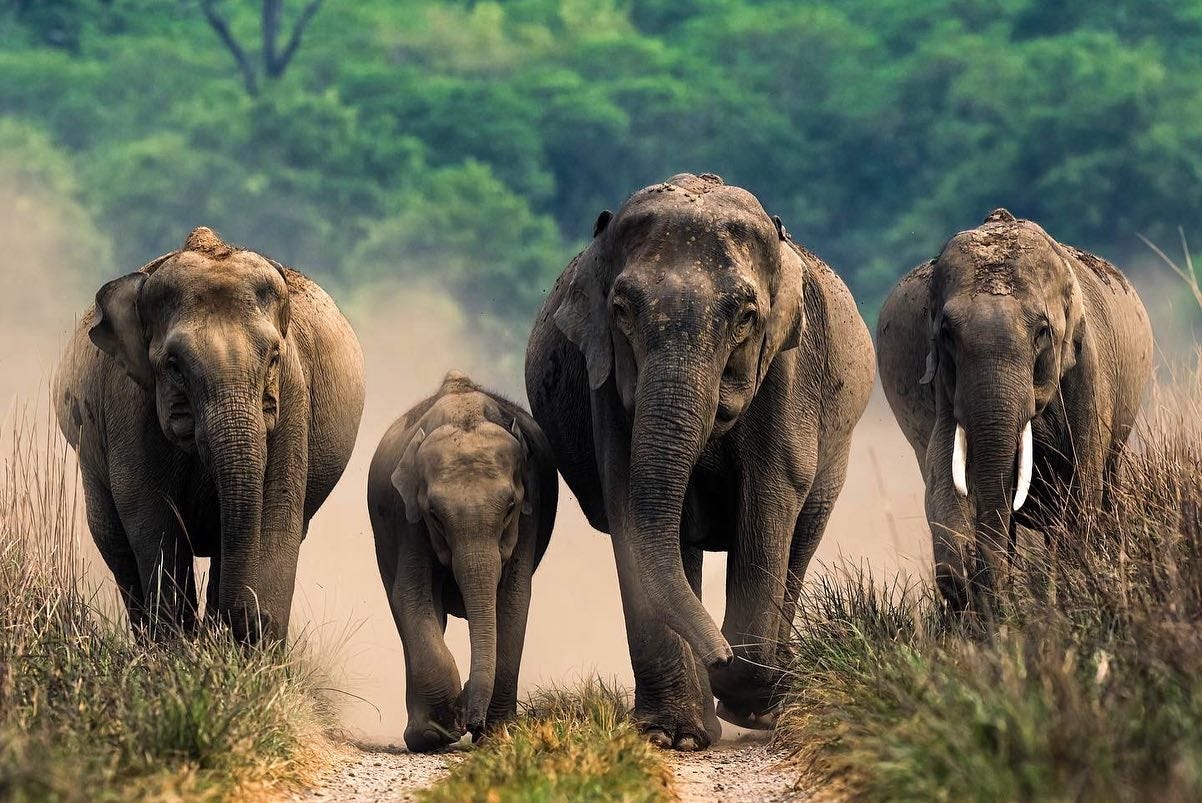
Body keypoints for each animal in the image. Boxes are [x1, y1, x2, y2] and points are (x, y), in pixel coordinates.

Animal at [54, 227, 365, 642]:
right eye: (174, 365)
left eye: (274, 357)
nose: (250, 621)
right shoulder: (127, 403)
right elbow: (153, 517)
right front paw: (179, 646)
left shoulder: (293, 393)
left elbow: (278, 509)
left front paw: (252, 648)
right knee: (114, 540)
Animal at [368, 370, 557, 752]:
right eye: (435, 516)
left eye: (510, 509)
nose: (471, 721)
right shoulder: (407, 519)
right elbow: (412, 594)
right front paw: (436, 733)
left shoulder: (531, 512)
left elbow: (513, 600)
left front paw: (497, 733)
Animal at [525, 173, 875, 750]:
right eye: (621, 310)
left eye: (745, 317)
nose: (722, 655)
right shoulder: (607, 381)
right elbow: (629, 503)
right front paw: (672, 735)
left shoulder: (787, 372)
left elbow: (770, 498)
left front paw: (751, 695)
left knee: (800, 540)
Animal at [876, 209, 1153, 613]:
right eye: (946, 333)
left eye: (1042, 332)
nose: (998, 595)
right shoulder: (944, 384)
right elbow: (945, 471)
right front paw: (970, 588)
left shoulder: (1087, 374)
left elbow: (1079, 487)